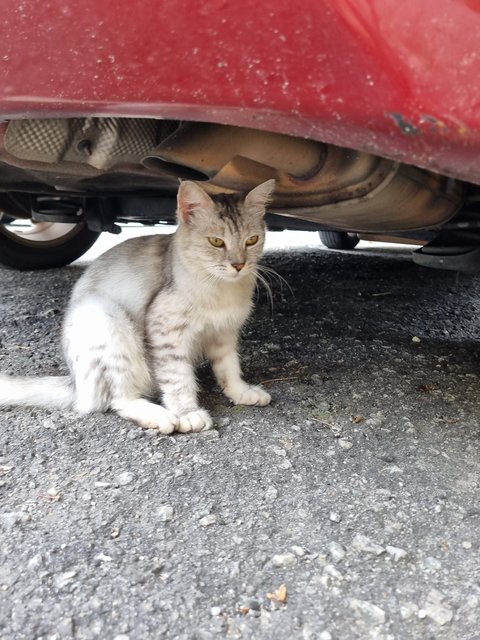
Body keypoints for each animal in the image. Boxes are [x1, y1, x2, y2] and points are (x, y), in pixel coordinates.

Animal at [0, 178, 276, 432]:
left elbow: (229, 368)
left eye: (252, 240)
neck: (222, 291)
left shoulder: (224, 332)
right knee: (118, 400)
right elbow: (178, 379)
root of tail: (75, 383)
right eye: (216, 242)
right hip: (107, 323)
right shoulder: (166, 331)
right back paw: (160, 416)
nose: (239, 265)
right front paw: (187, 412)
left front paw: (241, 392)